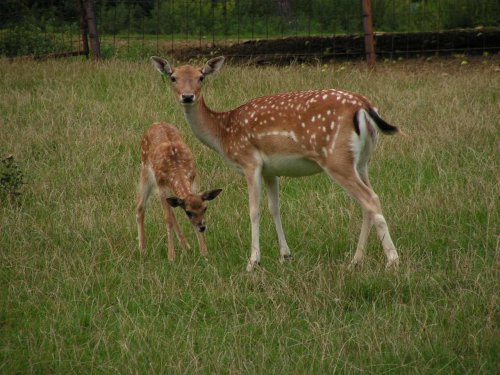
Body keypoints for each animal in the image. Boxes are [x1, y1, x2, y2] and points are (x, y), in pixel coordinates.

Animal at [137, 123, 223, 262]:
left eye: (205, 208)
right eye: (188, 212)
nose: (202, 227)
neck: (176, 168)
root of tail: (156, 123)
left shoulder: (193, 181)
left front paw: (204, 252)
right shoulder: (161, 187)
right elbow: (168, 219)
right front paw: (171, 256)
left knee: (171, 211)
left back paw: (186, 246)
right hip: (145, 172)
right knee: (140, 207)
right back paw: (142, 250)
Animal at [150, 56, 400, 270]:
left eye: (201, 76)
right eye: (173, 77)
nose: (187, 96)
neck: (223, 133)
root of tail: (364, 106)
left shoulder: (250, 161)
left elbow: (254, 210)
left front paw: (253, 262)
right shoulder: (271, 170)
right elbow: (274, 208)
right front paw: (285, 256)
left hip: (336, 157)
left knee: (370, 198)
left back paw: (392, 261)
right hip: (362, 160)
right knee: (367, 202)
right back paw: (355, 260)